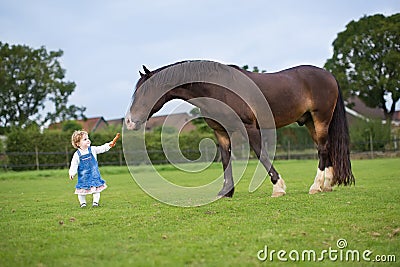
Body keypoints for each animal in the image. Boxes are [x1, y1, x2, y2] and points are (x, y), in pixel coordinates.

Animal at [124, 61, 354, 199]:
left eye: (145, 92)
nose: (128, 121)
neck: (218, 89)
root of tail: (329, 75)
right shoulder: (221, 132)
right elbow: (225, 159)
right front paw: (226, 192)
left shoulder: (249, 127)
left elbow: (261, 154)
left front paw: (278, 187)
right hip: (309, 122)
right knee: (326, 148)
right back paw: (327, 185)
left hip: (320, 119)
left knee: (322, 149)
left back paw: (316, 186)